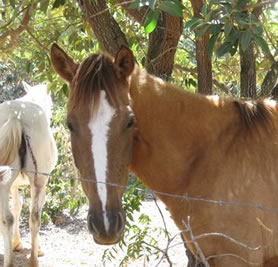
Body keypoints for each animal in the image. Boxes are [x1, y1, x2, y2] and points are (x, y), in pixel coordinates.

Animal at [0, 82, 57, 266]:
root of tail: (15, 116)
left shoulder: (13, 184)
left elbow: (17, 206)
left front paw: (15, 244)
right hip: (39, 180)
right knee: (35, 216)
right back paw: (33, 259)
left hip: (4, 182)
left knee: (7, 218)